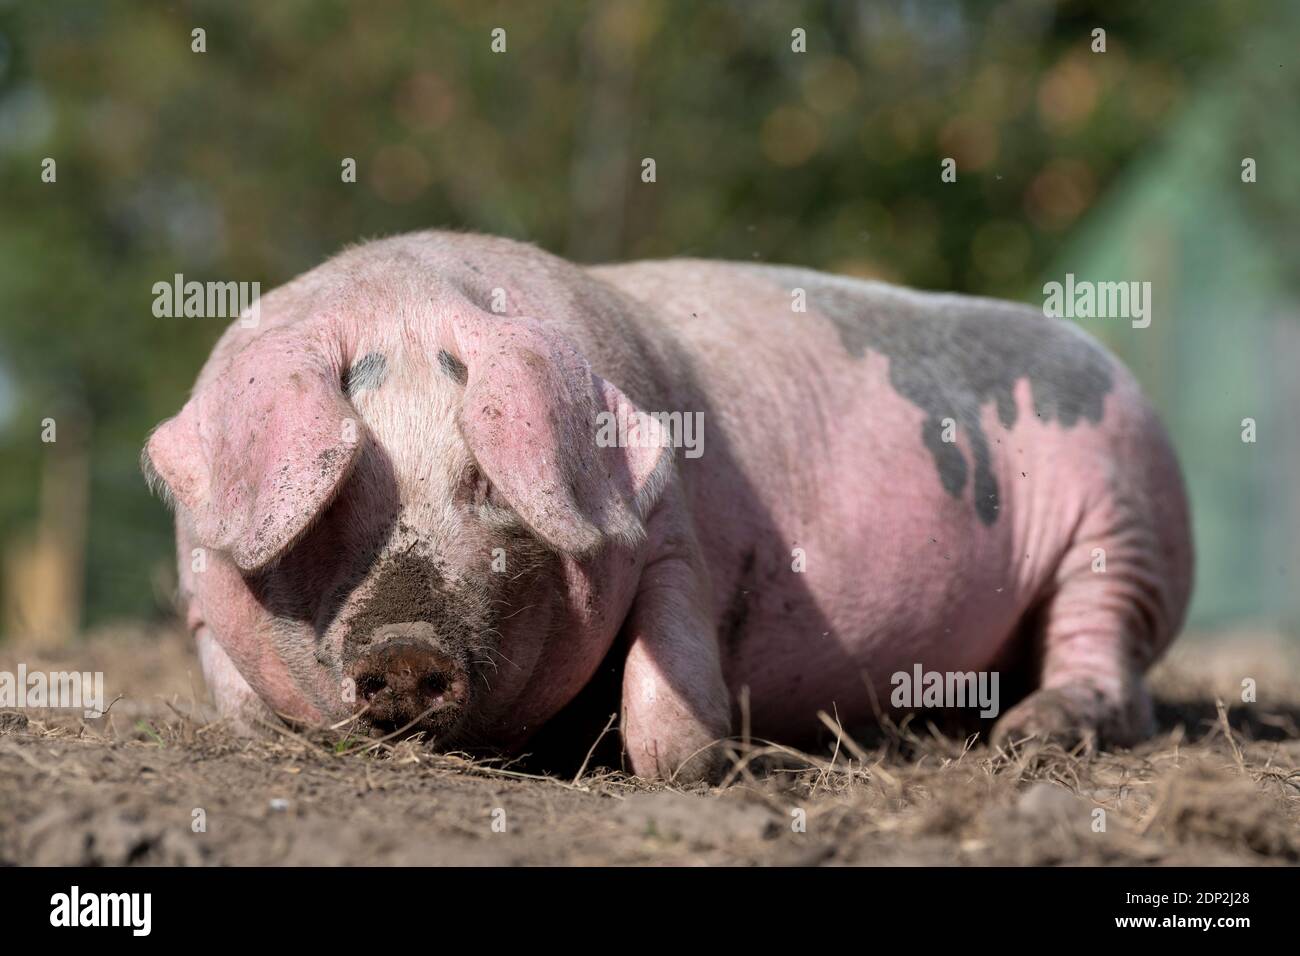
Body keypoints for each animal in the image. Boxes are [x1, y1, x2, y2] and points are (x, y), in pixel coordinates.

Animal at [144, 227, 1196, 780]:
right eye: (335, 500)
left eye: (486, 481)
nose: (405, 649)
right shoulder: (193, 585)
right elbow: (232, 688)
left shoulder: (671, 532)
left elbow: (669, 681)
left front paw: (701, 765)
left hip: (1126, 529)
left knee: (1110, 659)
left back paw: (1032, 732)